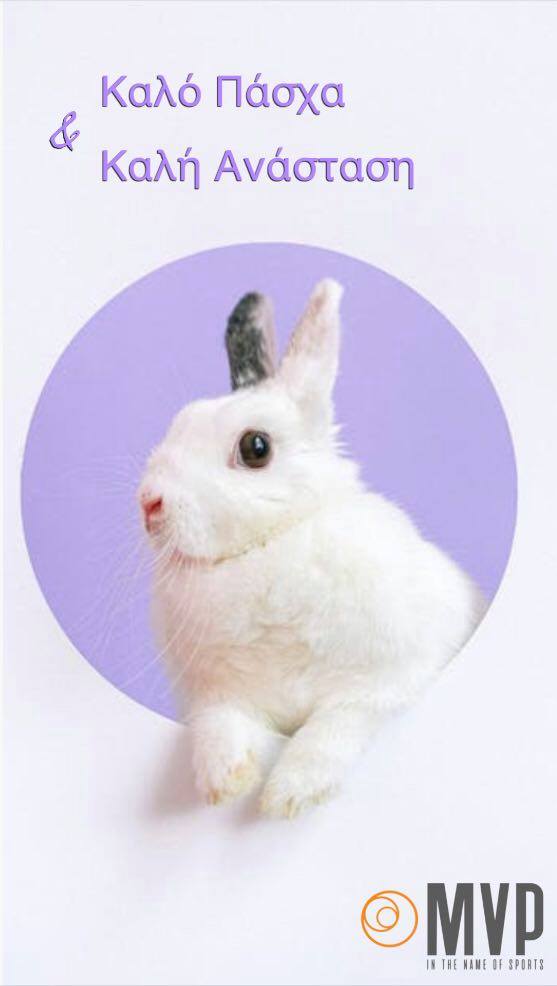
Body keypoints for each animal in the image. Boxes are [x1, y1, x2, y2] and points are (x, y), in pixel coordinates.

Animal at [139, 279, 486, 818]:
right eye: (181, 421)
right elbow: (219, 725)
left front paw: (290, 793)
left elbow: (335, 727)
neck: (270, 546)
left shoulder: (390, 679)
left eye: (256, 448)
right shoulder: (216, 694)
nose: (149, 502)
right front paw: (224, 781)